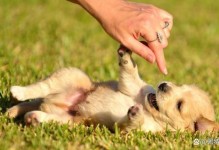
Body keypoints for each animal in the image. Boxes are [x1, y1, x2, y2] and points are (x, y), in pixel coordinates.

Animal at [6, 46, 219, 132]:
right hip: (74, 76)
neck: (149, 110)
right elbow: (130, 72)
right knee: (41, 89)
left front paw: (135, 115)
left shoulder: (131, 130)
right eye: (179, 85)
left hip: (70, 121)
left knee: (41, 110)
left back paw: (33, 118)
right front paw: (127, 55)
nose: (163, 85)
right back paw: (17, 96)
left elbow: (129, 125)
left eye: (179, 105)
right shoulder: (134, 87)